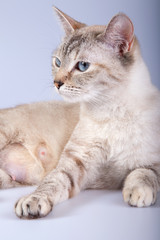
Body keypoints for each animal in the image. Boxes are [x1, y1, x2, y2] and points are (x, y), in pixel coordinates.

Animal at [2, 6, 160, 218]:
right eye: (58, 62)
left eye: (82, 66)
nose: (56, 83)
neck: (111, 111)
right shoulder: (75, 162)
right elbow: (52, 182)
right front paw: (33, 201)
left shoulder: (153, 161)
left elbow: (143, 173)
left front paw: (138, 193)